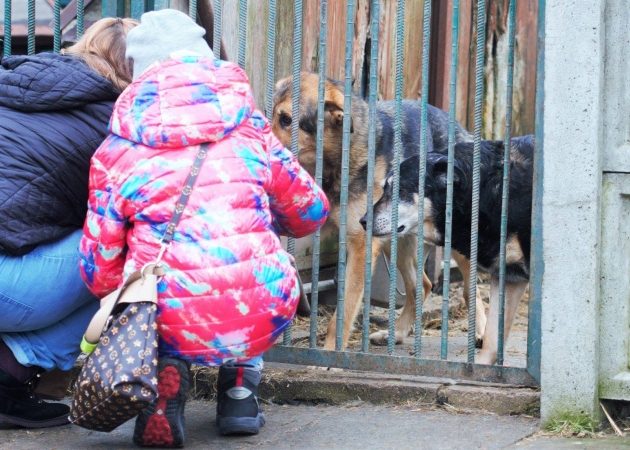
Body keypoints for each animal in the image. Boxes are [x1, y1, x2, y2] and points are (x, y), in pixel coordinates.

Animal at [272, 71, 488, 352]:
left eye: (286, 120)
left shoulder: (361, 244)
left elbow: (343, 313)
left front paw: (330, 352)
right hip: (396, 240)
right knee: (423, 285)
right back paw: (396, 334)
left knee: (471, 287)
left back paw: (481, 331)